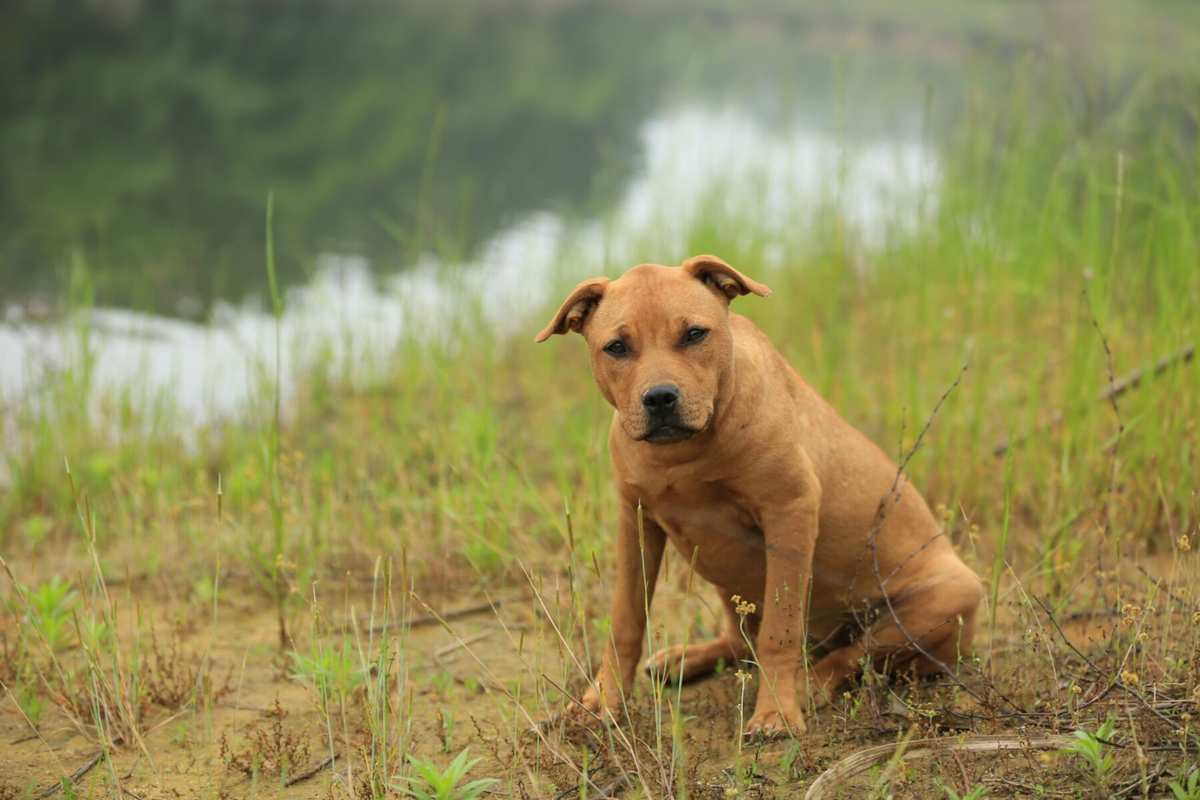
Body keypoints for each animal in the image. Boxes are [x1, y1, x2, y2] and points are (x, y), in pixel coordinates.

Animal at [537, 256, 984, 738]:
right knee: (740, 640)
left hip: (949, 595)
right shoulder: (635, 521)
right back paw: (686, 659)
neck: (685, 453)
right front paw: (601, 702)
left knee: (850, 654)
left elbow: (778, 631)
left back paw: (810, 683)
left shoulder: (789, 512)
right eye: (617, 347)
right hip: (725, 580)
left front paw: (775, 713)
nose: (659, 398)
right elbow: (626, 620)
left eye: (694, 334)